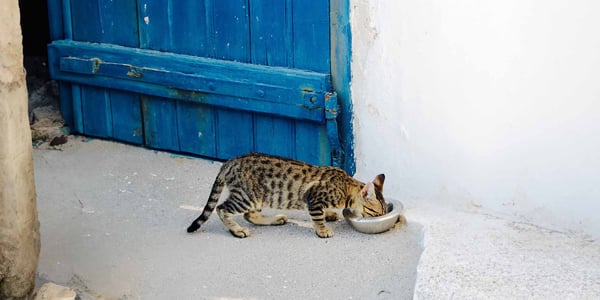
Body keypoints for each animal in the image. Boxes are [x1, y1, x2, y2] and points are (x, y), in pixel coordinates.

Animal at [185, 154, 386, 238]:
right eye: (376, 214)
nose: (380, 218)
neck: (346, 186)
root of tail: (229, 163)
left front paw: (329, 214)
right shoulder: (313, 198)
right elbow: (317, 216)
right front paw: (322, 230)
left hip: (257, 197)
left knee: (250, 215)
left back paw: (275, 219)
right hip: (246, 196)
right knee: (222, 208)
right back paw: (237, 230)